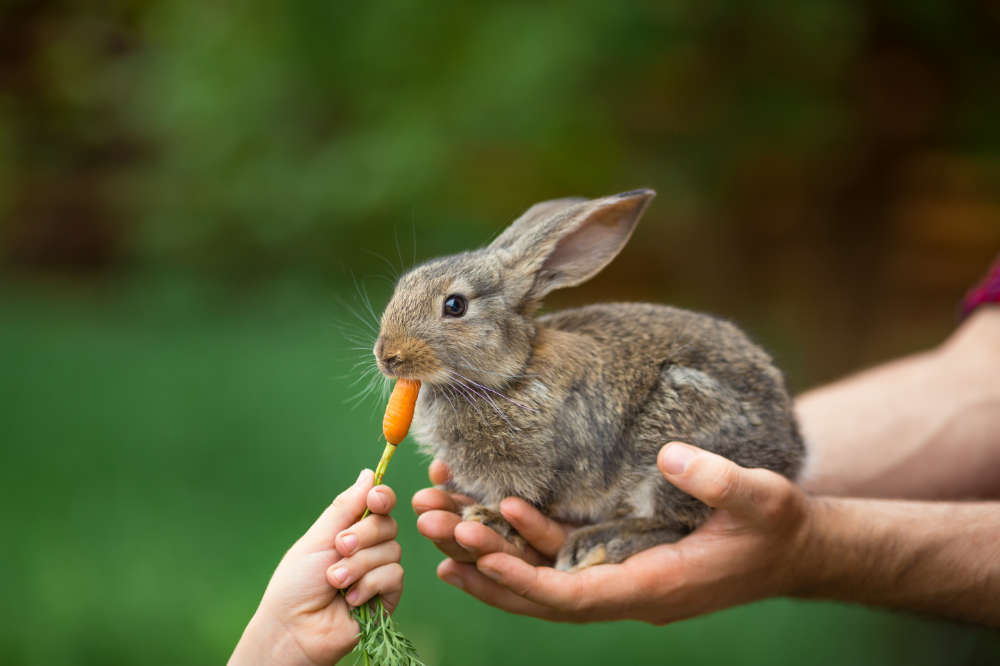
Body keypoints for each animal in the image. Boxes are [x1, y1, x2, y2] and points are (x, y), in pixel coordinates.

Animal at [376, 189, 804, 568]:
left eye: (455, 305)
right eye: (402, 286)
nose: (387, 356)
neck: (511, 374)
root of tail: (790, 455)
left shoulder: (537, 467)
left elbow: (522, 499)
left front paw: (490, 518)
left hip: (672, 446)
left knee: (673, 521)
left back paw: (597, 544)